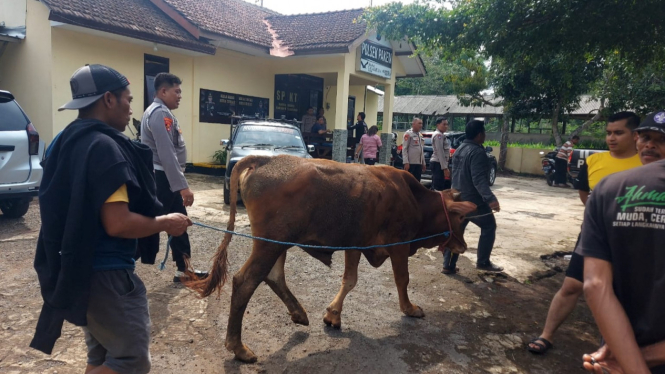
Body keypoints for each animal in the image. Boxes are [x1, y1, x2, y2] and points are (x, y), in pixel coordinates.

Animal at [187, 155, 474, 362]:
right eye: (461, 219)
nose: (463, 246)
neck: (414, 198)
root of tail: (264, 158)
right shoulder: (400, 245)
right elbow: (402, 280)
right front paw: (410, 308)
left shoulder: (355, 244)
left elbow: (349, 280)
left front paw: (333, 315)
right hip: (269, 245)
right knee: (245, 281)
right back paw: (238, 347)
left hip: (277, 244)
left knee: (273, 276)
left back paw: (299, 313)